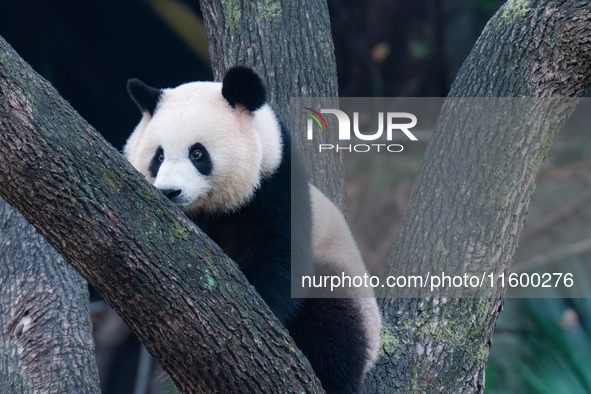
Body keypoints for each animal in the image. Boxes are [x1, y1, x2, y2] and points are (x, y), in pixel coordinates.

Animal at [126, 66, 382, 392]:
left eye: (197, 154)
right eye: (158, 156)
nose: (170, 192)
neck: (215, 208)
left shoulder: (278, 188)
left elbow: (277, 254)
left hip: (340, 276)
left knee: (335, 332)